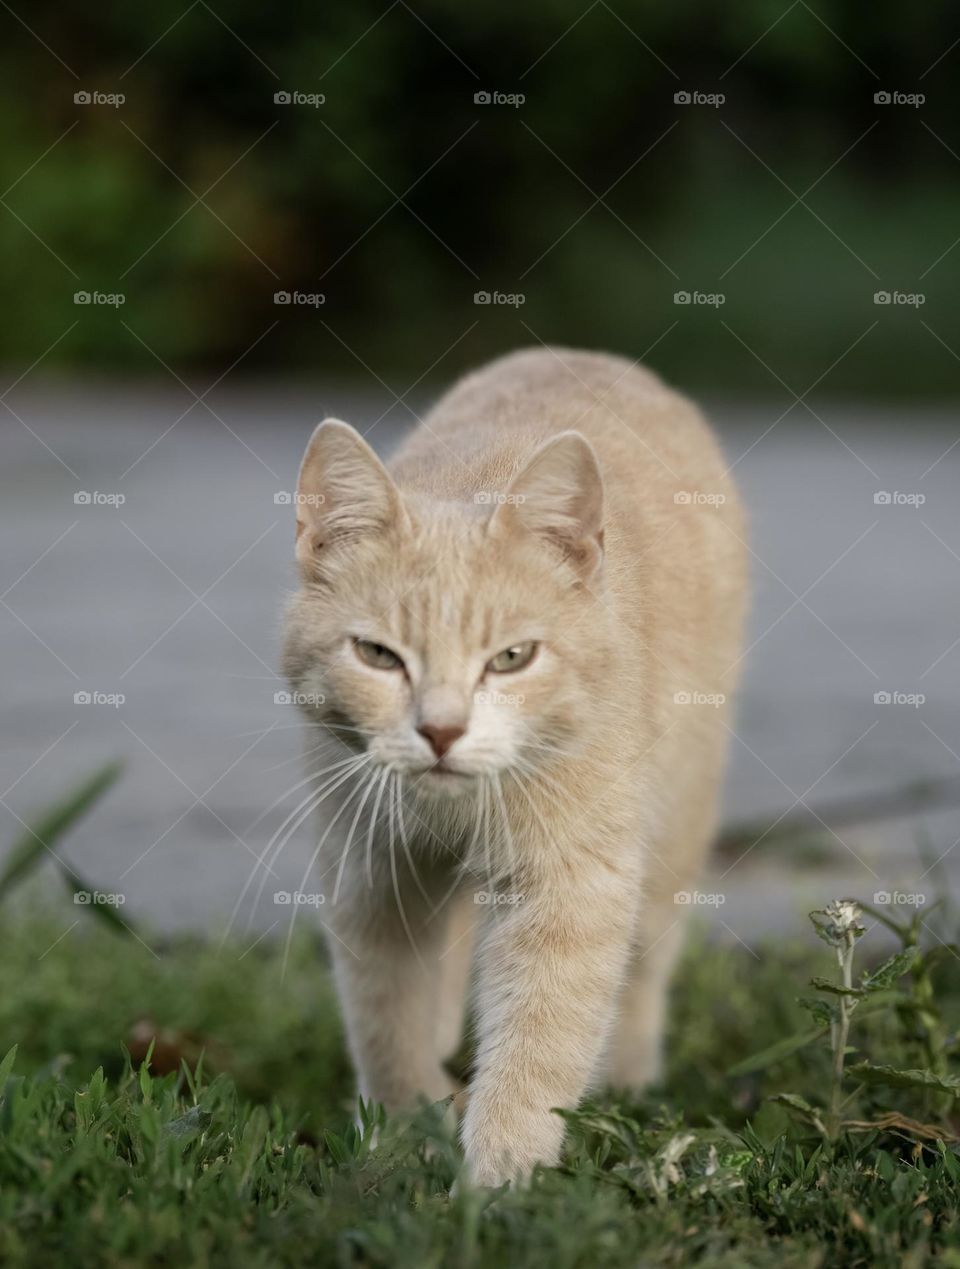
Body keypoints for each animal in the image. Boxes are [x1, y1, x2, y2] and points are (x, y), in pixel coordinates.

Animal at [280, 342, 745, 1182]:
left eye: (511, 657)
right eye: (377, 654)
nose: (440, 729)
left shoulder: (570, 882)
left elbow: (540, 1033)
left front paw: (501, 1173)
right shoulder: (372, 869)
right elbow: (385, 1016)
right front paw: (402, 1129)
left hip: (678, 819)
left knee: (646, 960)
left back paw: (628, 1073)